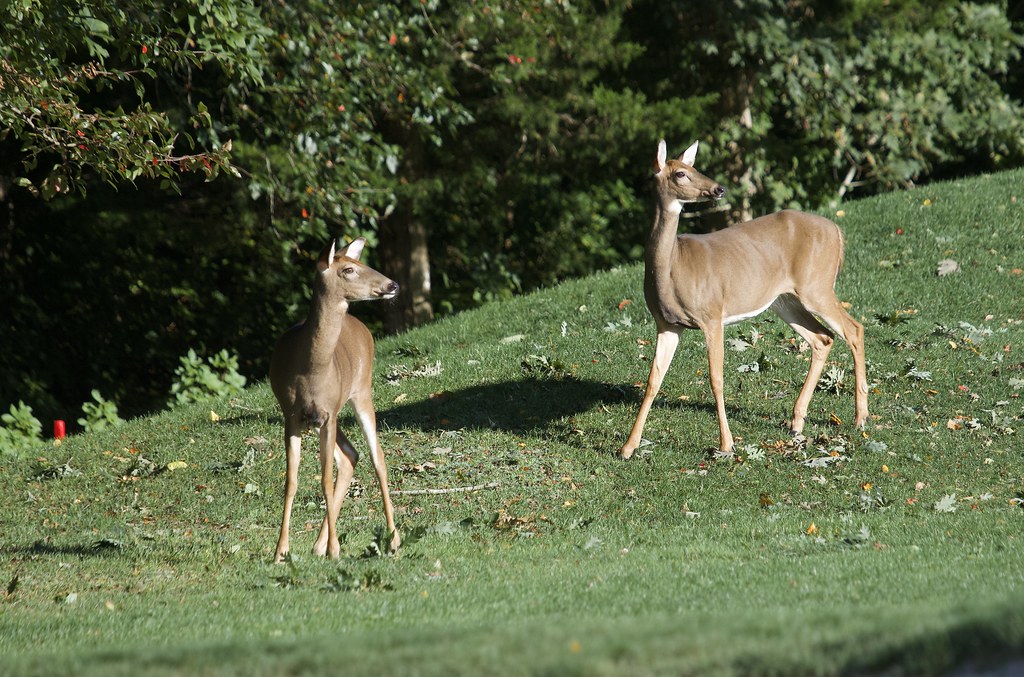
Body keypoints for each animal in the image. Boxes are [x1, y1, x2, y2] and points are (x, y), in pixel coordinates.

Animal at [269, 237, 401, 562]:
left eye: (361, 263)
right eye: (350, 269)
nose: (393, 284)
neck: (310, 370)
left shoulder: (328, 413)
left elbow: (325, 480)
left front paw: (334, 549)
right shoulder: (291, 415)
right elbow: (291, 481)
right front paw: (280, 551)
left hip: (362, 391)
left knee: (377, 458)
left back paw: (393, 540)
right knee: (351, 456)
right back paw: (318, 545)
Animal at [618, 140, 868, 459]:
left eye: (694, 167)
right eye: (681, 173)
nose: (718, 189)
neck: (673, 268)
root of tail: (837, 231)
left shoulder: (712, 314)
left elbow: (716, 379)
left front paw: (726, 444)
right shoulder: (666, 323)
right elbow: (653, 380)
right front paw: (628, 447)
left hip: (817, 286)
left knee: (853, 329)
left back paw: (861, 418)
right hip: (786, 300)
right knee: (823, 338)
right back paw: (796, 422)